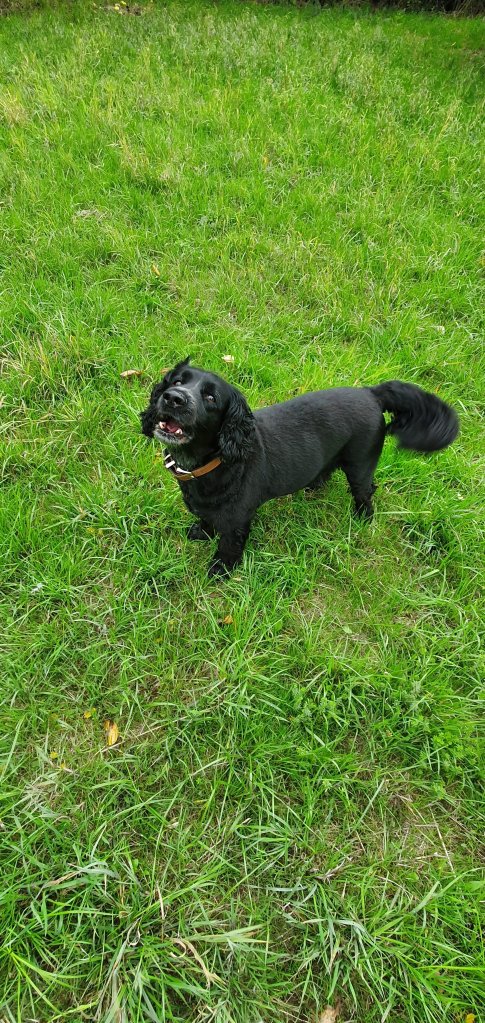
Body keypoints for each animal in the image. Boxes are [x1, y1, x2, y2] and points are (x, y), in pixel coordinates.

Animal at [141, 359, 459, 577]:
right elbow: (207, 519)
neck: (211, 462)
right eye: (175, 382)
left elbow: (228, 546)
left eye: (211, 398)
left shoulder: (238, 520)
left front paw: (221, 571)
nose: (173, 398)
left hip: (360, 464)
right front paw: (201, 532)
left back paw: (362, 518)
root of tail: (371, 393)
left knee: (366, 491)